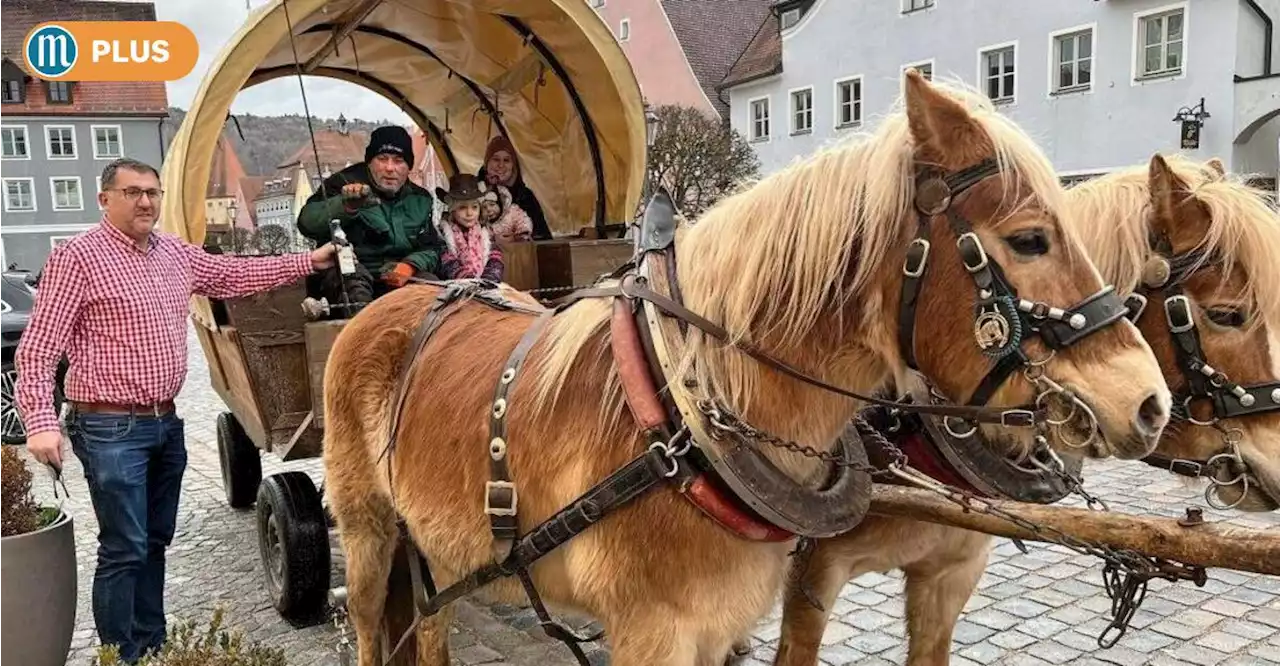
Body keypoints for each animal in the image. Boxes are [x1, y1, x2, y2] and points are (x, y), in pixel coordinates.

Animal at [320, 70, 1172, 660]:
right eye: (1031, 238)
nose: (1150, 403)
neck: (685, 420)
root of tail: (403, 294)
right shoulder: (658, 633)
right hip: (366, 528)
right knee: (368, 620)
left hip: (436, 544)